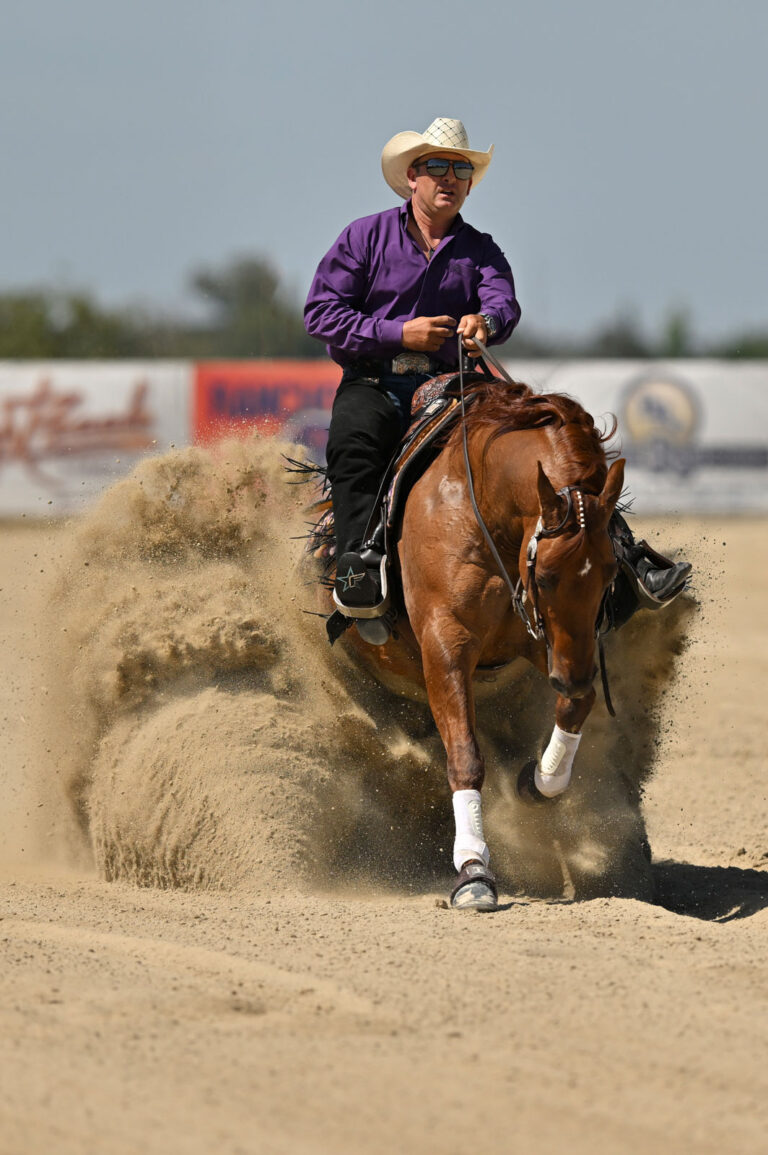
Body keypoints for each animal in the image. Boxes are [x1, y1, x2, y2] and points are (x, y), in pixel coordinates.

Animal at [325, 378, 623, 910]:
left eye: (609, 573)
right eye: (545, 576)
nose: (571, 673)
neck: (484, 510)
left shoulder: (541, 640)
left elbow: (577, 704)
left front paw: (540, 782)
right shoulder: (446, 646)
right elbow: (465, 757)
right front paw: (473, 871)